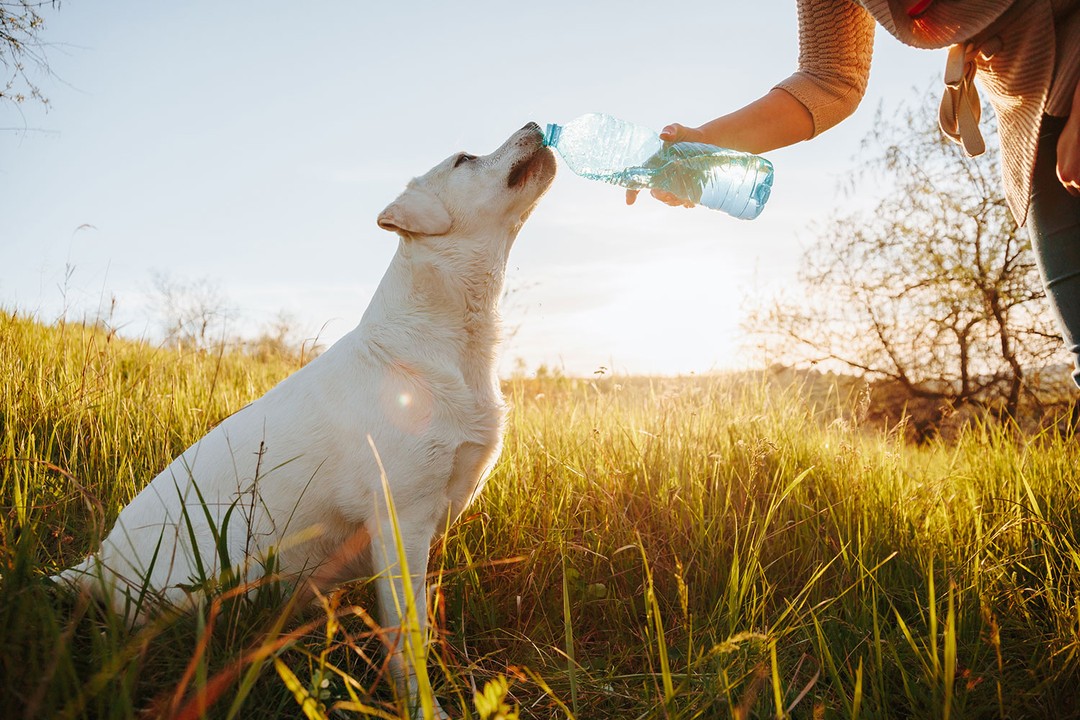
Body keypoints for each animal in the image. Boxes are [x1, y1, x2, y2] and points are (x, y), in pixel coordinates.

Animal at [53, 124, 557, 716]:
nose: (535, 123)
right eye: (464, 159)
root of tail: (95, 564)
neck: (447, 341)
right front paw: (423, 708)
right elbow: (408, 639)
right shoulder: (401, 520)